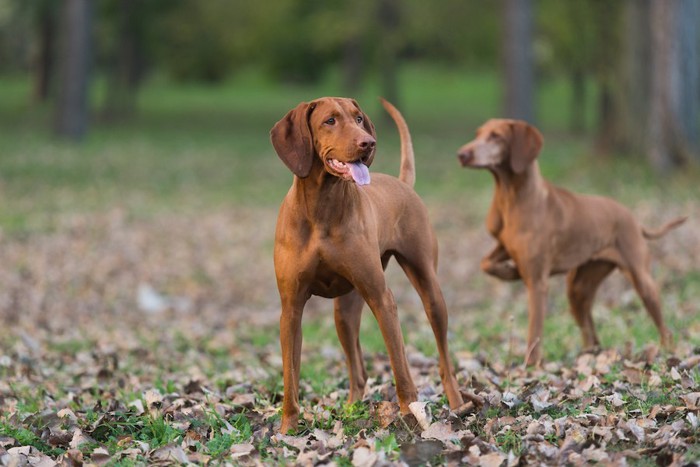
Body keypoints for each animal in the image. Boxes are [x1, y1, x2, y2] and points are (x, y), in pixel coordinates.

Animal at [270, 97, 462, 436]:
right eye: (330, 120)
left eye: (358, 118)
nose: (368, 142)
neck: (321, 208)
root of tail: (402, 182)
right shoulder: (290, 308)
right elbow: (290, 375)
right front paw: (288, 428)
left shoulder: (381, 298)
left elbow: (400, 366)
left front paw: (410, 416)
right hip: (344, 312)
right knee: (358, 370)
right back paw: (351, 410)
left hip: (429, 290)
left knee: (444, 359)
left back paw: (457, 403)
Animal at [456, 120, 688, 370]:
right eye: (478, 134)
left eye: (496, 136)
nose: (462, 154)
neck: (511, 197)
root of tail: (634, 219)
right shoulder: (504, 246)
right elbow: (485, 263)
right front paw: (510, 272)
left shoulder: (538, 283)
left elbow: (534, 329)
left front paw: (532, 365)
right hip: (578, 288)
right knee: (591, 334)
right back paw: (588, 356)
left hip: (642, 281)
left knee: (664, 328)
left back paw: (667, 353)